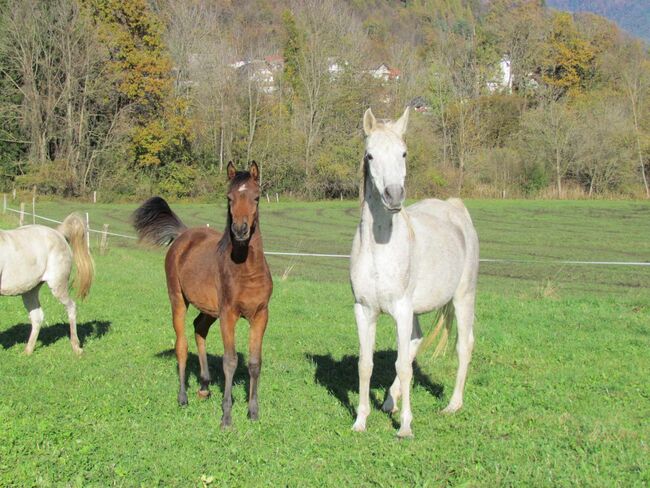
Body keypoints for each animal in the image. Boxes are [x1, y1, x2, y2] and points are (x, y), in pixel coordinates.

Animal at [0, 214, 93, 354]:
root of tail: (58, 233)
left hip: (58, 285)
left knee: (71, 307)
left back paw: (76, 347)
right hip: (30, 290)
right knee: (37, 317)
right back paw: (27, 352)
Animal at [133, 161, 272, 428]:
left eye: (257, 197)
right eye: (229, 198)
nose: (240, 231)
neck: (247, 271)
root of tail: (183, 235)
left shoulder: (260, 315)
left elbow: (254, 362)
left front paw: (253, 412)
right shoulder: (228, 315)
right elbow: (230, 361)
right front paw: (227, 417)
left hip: (209, 310)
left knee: (199, 327)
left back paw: (205, 385)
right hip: (178, 300)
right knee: (181, 345)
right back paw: (183, 397)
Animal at [350, 107, 476, 438]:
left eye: (404, 153)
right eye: (370, 155)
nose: (394, 195)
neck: (380, 249)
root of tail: (454, 208)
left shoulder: (402, 310)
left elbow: (403, 366)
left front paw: (405, 426)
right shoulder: (364, 310)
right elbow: (365, 364)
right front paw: (360, 420)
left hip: (463, 297)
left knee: (463, 345)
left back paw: (452, 405)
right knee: (415, 342)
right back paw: (388, 401)